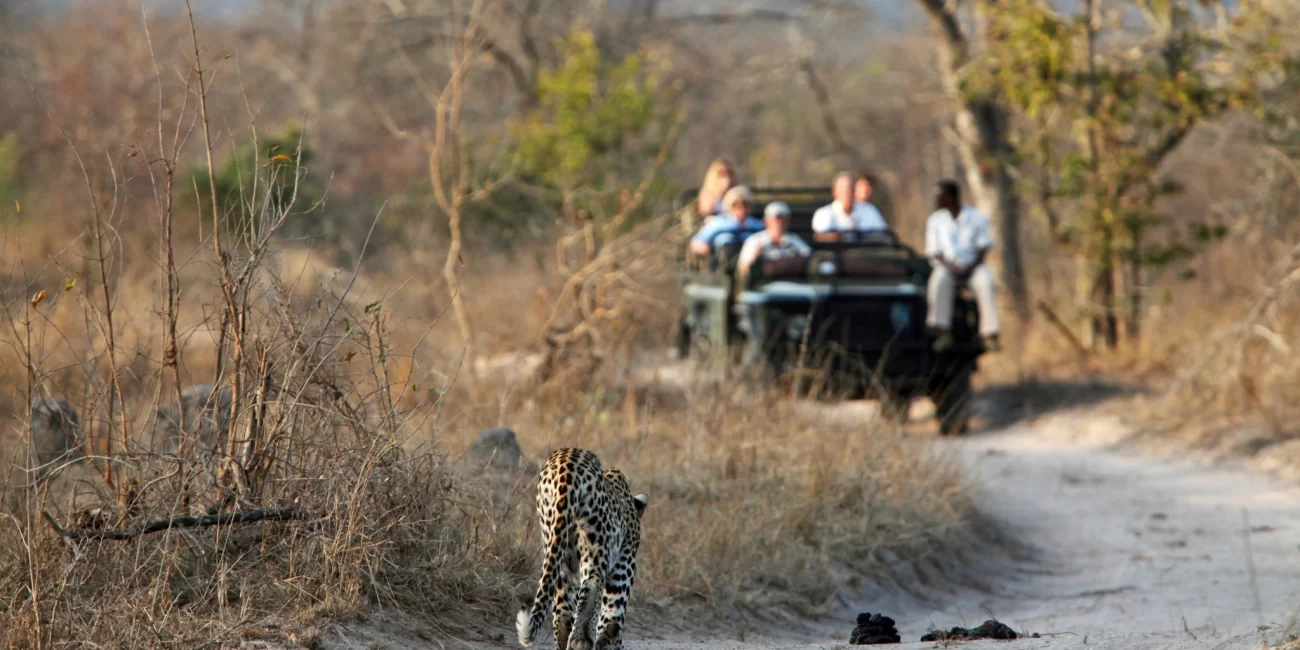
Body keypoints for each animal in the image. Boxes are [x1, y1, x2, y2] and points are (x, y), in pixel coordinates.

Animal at [512, 447, 644, 650]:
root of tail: (568, 468)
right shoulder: (626, 560)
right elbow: (613, 613)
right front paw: (611, 641)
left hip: (555, 541)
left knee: (561, 603)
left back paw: (567, 637)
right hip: (596, 547)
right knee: (593, 583)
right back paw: (581, 639)